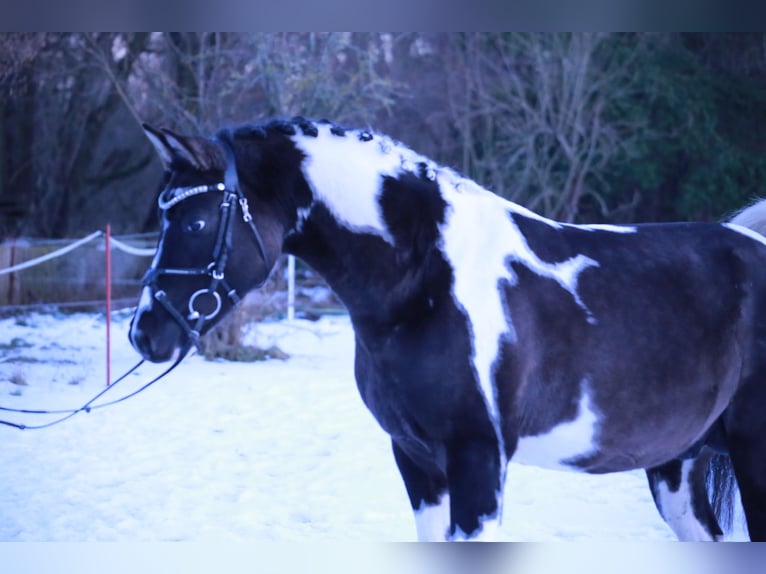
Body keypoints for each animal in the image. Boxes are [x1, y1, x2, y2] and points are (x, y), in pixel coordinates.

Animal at [128, 116, 766, 541]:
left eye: (197, 220)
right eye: (163, 214)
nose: (144, 333)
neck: (426, 280)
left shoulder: (477, 462)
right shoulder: (418, 463)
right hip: (677, 466)